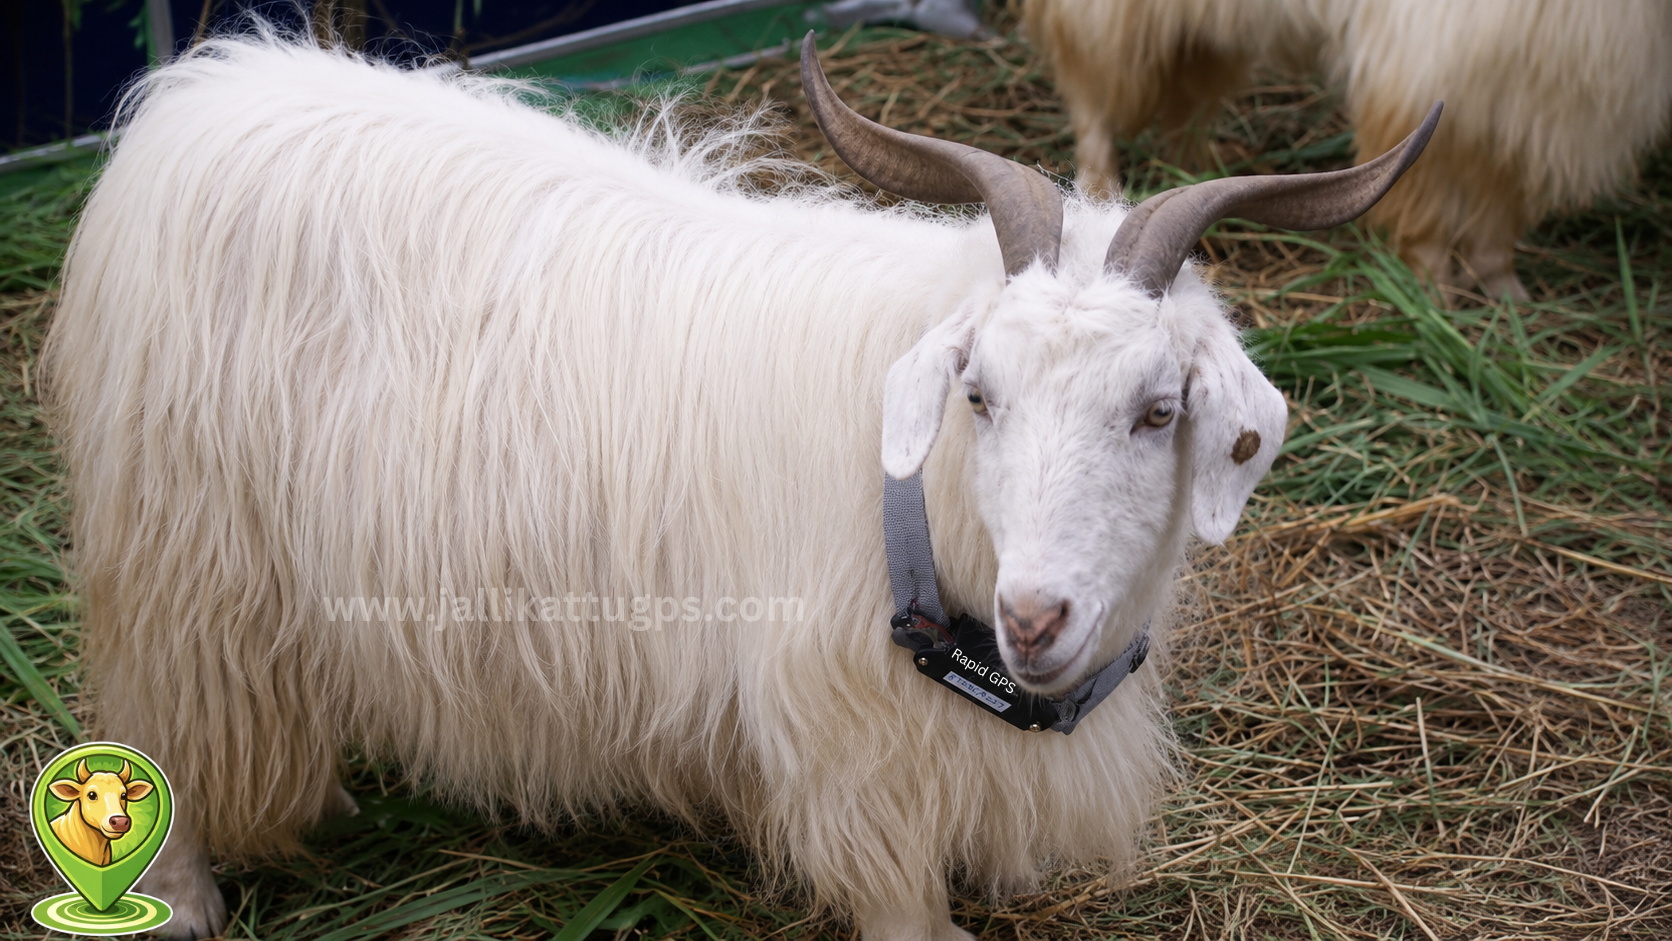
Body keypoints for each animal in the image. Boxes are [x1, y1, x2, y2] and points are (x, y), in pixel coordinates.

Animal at [44, 30, 1431, 940]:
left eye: (1156, 411)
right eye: (980, 394)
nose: (1036, 620)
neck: (922, 514)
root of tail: (198, 96)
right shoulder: (850, 754)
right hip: (183, 546)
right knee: (161, 705)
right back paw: (178, 898)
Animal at [1023, 0, 1672, 301]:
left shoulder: (1518, 112)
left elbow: (1496, 224)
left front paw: (1508, 300)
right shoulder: (1430, 79)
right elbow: (1428, 213)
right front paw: (1435, 296)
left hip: (1206, 37)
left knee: (1189, 111)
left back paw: (1204, 179)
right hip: (1114, 26)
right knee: (1092, 98)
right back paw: (1100, 193)